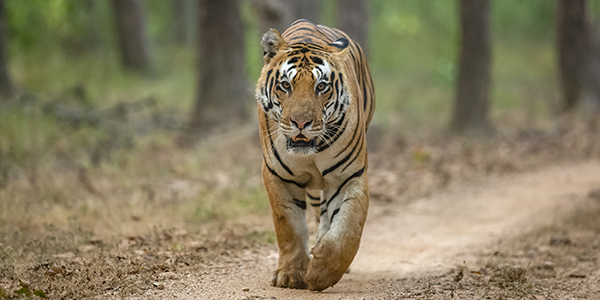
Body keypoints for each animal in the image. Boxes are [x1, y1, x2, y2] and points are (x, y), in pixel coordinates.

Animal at [254, 18, 376, 290]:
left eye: (321, 86)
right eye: (285, 85)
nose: (301, 123)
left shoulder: (349, 177)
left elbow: (349, 228)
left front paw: (321, 273)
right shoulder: (279, 177)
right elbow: (290, 227)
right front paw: (291, 274)